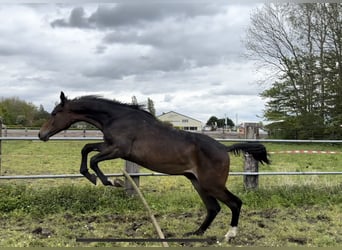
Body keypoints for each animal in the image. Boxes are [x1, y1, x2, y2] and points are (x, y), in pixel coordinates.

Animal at [39, 92, 270, 242]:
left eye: (54, 113)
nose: (41, 135)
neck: (117, 118)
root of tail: (224, 148)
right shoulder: (108, 146)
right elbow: (86, 149)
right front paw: (92, 176)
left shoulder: (117, 149)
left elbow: (94, 159)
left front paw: (110, 181)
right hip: (197, 182)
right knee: (214, 208)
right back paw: (195, 234)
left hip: (211, 184)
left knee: (235, 203)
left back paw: (230, 235)